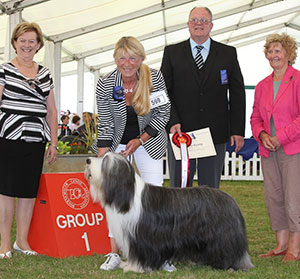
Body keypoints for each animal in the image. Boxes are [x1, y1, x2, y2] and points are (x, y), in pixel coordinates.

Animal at [84, 153, 253, 274]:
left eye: (105, 161)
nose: (87, 160)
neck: (128, 195)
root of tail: (230, 200)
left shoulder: (140, 237)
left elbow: (138, 254)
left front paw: (133, 268)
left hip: (223, 235)